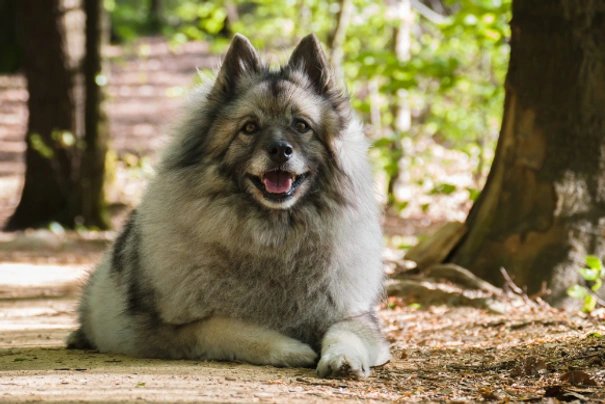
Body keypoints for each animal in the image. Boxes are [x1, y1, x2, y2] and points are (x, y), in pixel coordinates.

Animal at [68, 32, 390, 378]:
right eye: (249, 128)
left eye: (302, 126)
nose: (280, 150)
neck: (272, 239)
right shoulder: (172, 330)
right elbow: (230, 326)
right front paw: (291, 348)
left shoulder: (357, 317)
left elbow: (344, 333)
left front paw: (342, 358)